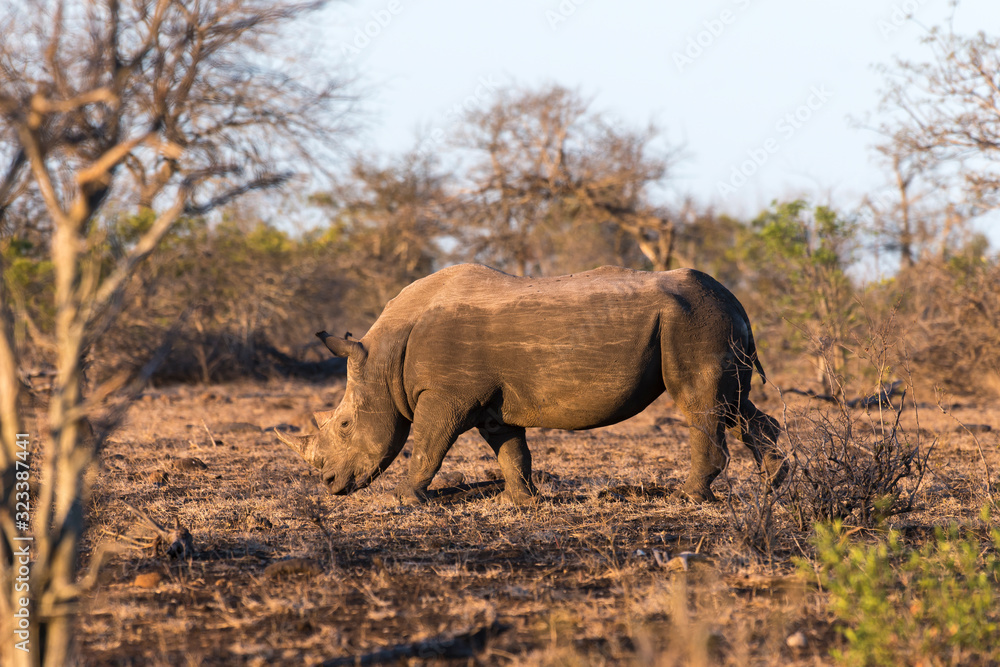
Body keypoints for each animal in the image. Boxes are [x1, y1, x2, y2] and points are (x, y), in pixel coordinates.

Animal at [277, 263, 787, 504]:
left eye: (345, 425)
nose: (330, 484)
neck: (383, 359)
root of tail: (735, 301)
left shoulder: (446, 395)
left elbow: (427, 445)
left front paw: (404, 500)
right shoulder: (486, 400)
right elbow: (510, 450)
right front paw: (523, 501)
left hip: (695, 323)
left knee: (701, 405)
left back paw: (689, 497)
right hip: (714, 324)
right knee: (735, 406)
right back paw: (775, 485)